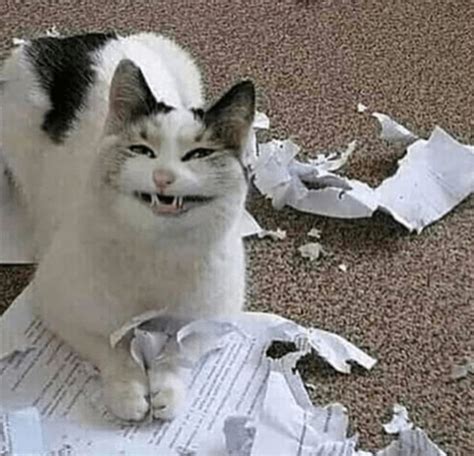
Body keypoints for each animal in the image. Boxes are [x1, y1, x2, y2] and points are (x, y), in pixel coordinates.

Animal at [0, 32, 256, 422]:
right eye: (142, 151)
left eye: (197, 155)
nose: (163, 176)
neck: (157, 253)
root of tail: (80, 37)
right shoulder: (57, 304)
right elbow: (113, 349)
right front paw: (128, 391)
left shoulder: (216, 319)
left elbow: (180, 352)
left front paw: (167, 391)